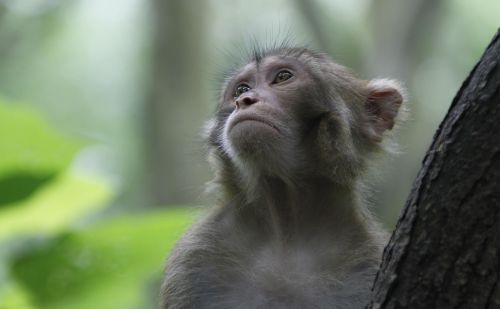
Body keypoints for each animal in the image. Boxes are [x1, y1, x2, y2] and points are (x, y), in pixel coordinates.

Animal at [160, 45, 406, 308]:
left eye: (283, 77)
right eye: (242, 89)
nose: (244, 101)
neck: (287, 227)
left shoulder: (369, 259)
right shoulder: (195, 259)